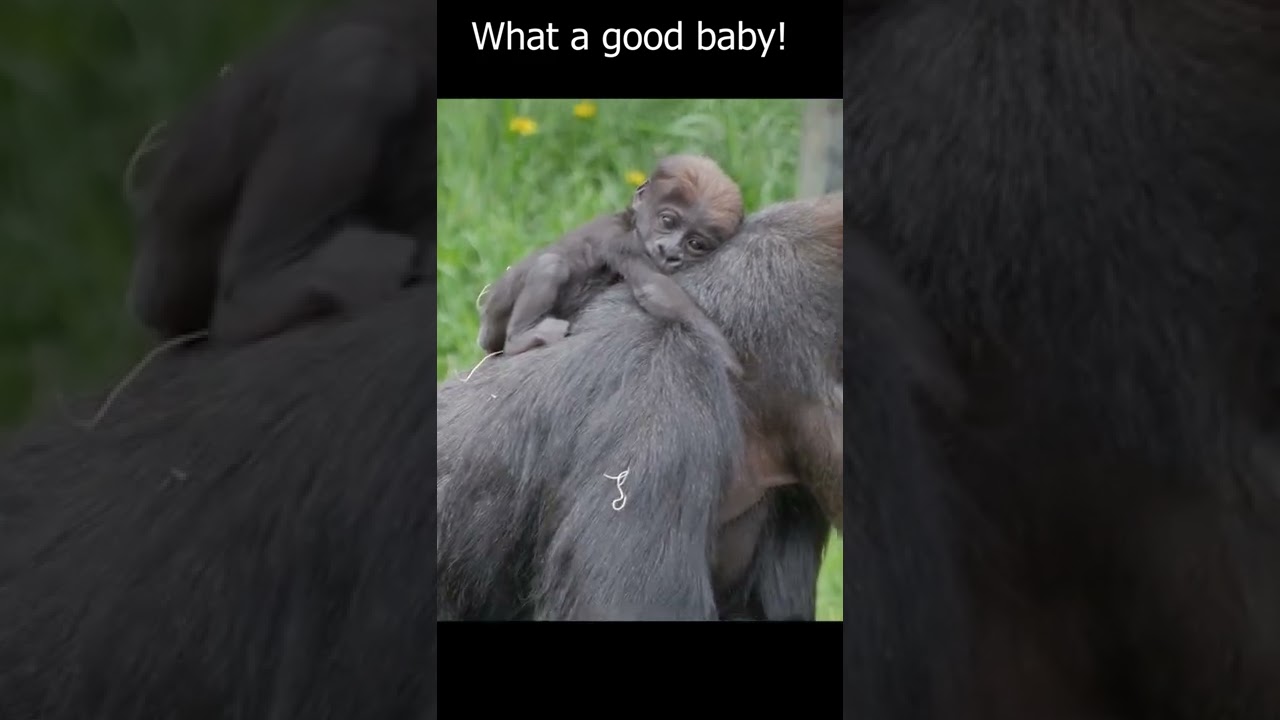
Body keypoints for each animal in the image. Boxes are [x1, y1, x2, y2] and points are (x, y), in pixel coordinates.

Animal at [476, 154, 744, 376]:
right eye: (667, 221)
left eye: (695, 244)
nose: (669, 252)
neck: (631, 221)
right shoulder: (623, 242)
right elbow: (653, 287)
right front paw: (724, 354)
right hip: (498, 305)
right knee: (550, 266)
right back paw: (519, 339)